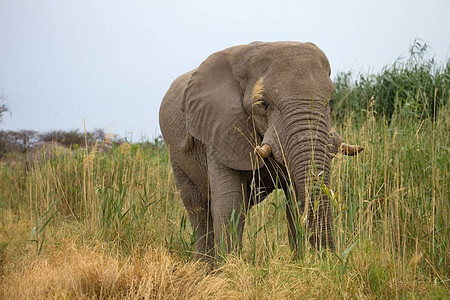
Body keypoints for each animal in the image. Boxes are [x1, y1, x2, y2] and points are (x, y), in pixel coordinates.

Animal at [158, 41, 362, 264]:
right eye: (263, 104)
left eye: (331, 101)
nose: (330, 260)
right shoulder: (218, 129)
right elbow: (229, 202)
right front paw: (229, 268)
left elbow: (294, 199)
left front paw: (299, 264)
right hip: (176, 156)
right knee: (198, 208)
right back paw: (204, 267)